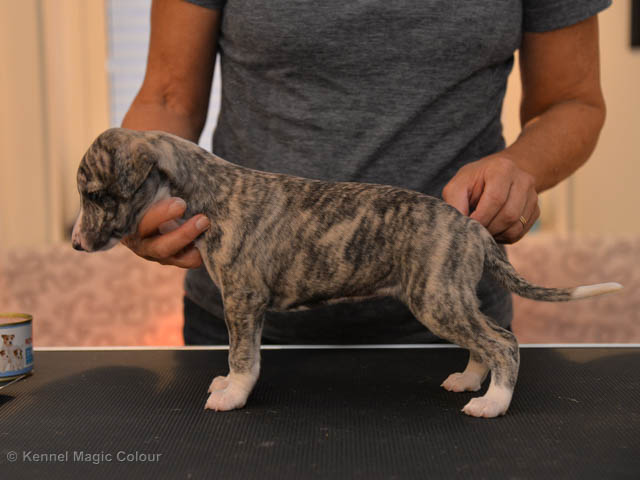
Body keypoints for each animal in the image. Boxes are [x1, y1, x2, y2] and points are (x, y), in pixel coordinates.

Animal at [72, 128, 622, 418]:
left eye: (96, 194)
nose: (75, 243)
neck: (211, 190)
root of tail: (471, 226)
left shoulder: (243, 299)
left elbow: (243, 355)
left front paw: (234, 393)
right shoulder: (242, 302)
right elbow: (237, 354)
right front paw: (228, 383)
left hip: (437, 300)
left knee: (503, 342)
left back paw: (494, 403)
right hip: (454, 296)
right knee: (486, 339)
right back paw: (470, 380)